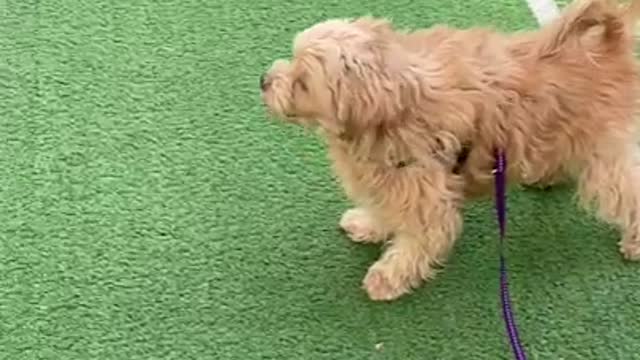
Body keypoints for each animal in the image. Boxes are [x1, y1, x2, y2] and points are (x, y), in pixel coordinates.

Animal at [258, 0, 640, 302]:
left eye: (302, 83)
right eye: (292, 58)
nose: (264, 80)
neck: (396, 111)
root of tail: (610, 42)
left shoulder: (426, 195)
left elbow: (419, 240)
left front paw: (388, 277)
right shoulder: (388, 180)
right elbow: (383, 208)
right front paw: (368, 224)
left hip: (605, 160)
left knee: (628, 192)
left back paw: (634, 241)